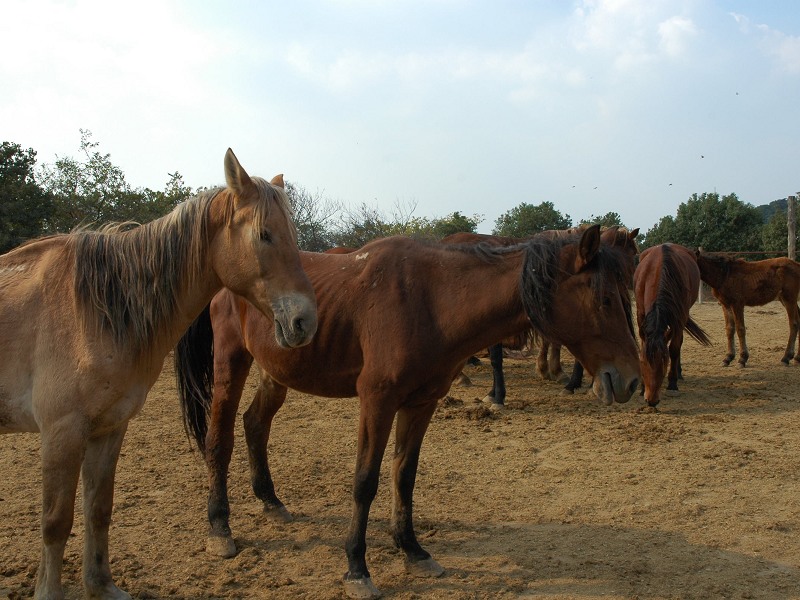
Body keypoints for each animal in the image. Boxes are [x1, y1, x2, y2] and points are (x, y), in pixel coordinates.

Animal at [0, 150, 318, 600]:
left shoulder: (109, 428)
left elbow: (98, 509)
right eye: (264, 235)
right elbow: (55, 522)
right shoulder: (61, 432)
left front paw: (102, 586)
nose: (305, 321)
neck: (94, 310)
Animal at [636, 244, 708, 408]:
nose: (651, 400)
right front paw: (642, 387)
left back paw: (678, 373)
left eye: (665, 361)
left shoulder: (679, 318)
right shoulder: (640, 315)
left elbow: (674, 349)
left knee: (679, 343)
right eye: (642, 362)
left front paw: (672, 384)